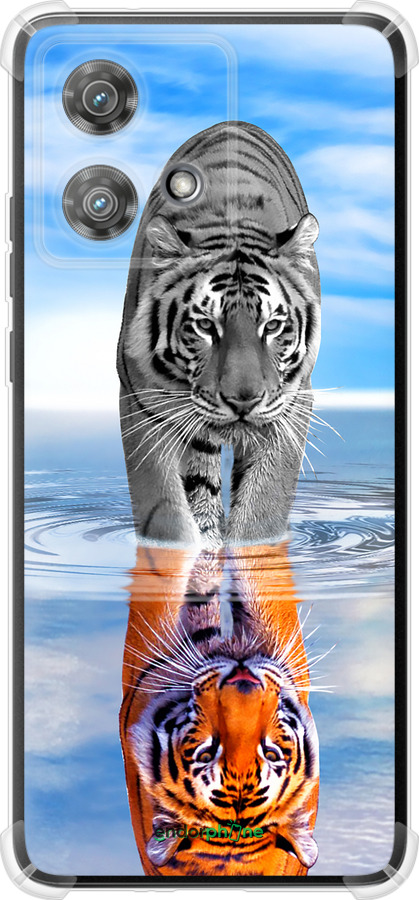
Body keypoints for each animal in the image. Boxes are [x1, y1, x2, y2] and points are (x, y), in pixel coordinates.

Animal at [117, 120, 321, 548]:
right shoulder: (141, 401)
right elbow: (165, 511)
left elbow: (262, 508)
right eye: (205, 326)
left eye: (272, 326)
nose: (243, 401)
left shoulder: (292, 405)